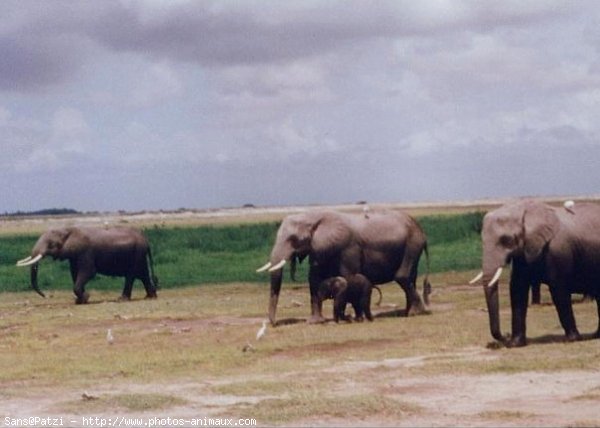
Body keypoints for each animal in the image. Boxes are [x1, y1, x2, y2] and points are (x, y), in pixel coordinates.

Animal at [17, 226, 159, 302]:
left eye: (51, 244)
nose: (46, 295)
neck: (68, 229)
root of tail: (146, 240)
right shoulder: (74, 256)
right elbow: (74, 274)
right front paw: (81, 300)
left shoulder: (85, 252)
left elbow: (88, 273)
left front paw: (86, 298)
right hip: (139, 254)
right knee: (143, 275)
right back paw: (150, 297)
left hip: (137, 253)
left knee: (131, 275)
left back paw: (122, 299)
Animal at [255, 209, 428, 326]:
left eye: (293, 239)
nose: (273, 324)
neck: (313, 216)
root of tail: (420, 229)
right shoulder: (318, 248)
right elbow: (314, 279)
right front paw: (315, 322)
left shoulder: (348, 247)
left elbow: (348, 274)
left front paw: (348, 318)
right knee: (411, 278)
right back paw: (407, 312)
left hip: (412, 244)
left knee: (402, 276)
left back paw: (415, 313)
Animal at [472, 201, 600, 348]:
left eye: (506, 240)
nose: (506, 336)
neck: (524, 209)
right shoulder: (523, 253)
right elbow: (517, 289)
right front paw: (516, 344)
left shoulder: (558, 251)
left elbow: (558, 291)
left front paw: (573, 339)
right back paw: (596, 335)